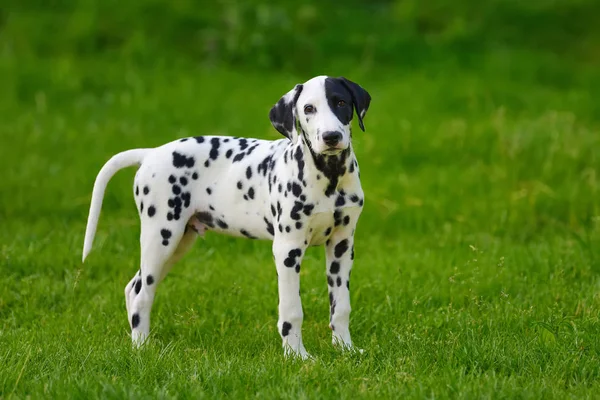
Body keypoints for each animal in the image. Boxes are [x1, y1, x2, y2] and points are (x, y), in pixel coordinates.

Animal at [81, 75, 370, 360]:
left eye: (341, 102)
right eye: (309, 108)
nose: (331, 137)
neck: (329, 176)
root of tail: (151, 153)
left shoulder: (342, 246)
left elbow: (340, 306)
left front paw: (345, 348)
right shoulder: (288, 250)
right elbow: (292, 310)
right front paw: (297, 356)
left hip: (178, 243)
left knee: (134, 287)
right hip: (161, 237)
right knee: (142, 293)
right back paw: (141, 347)